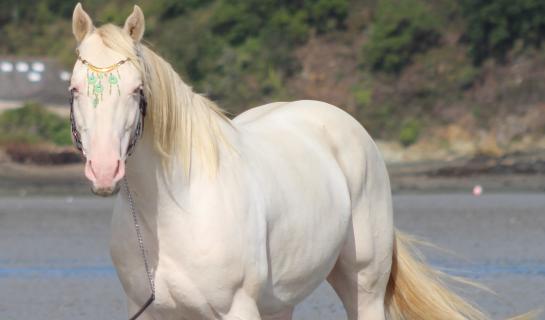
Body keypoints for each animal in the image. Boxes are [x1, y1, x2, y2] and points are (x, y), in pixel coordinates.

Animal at [70, 4, 486, 320]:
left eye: (137, 90)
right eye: (74, 89)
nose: (104, 170)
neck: (177, 210)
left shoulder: (238, 308)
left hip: (364, 283)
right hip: (281, 301)